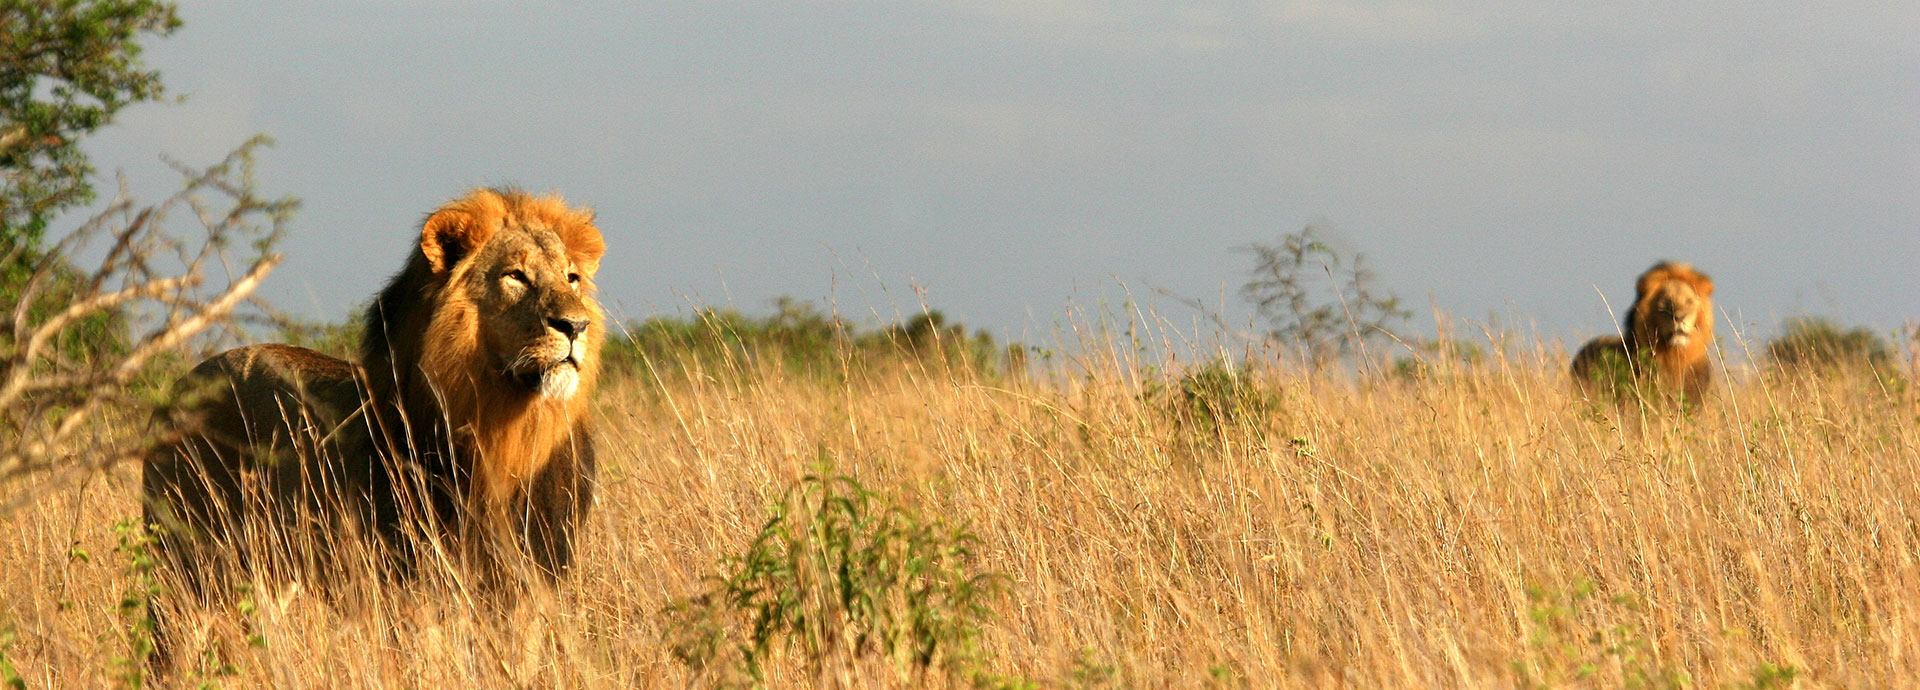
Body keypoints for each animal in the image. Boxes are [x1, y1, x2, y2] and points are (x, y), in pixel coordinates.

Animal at [142, 189, 606, 636]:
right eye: (516, 276)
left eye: (572, 279)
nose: (575, 325)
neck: (508, 433)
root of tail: (181, 385)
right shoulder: (406, 584)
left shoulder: (533, 579)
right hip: (187, 565)